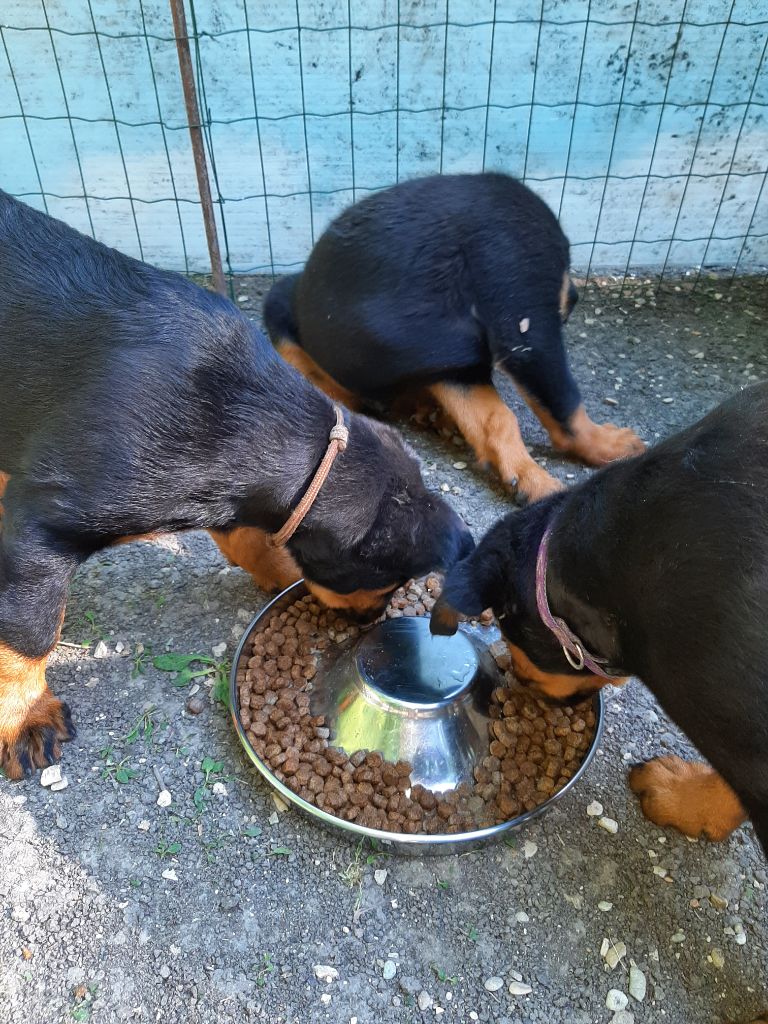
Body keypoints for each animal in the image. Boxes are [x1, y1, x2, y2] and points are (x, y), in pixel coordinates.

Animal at [0, 192, 475, 778]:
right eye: (388, 582)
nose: (373, 620)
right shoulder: (43, 529)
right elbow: (28, 632)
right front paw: (25, 715)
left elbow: (249, 538)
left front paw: (282, 573)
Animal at [264, 173, 643, 503]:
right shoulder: (525, 322)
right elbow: (564, 404)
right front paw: (605, 444)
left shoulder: (455, 364)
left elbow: (494, 419)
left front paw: (525, 476)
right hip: (279, 302)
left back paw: (427, 410)